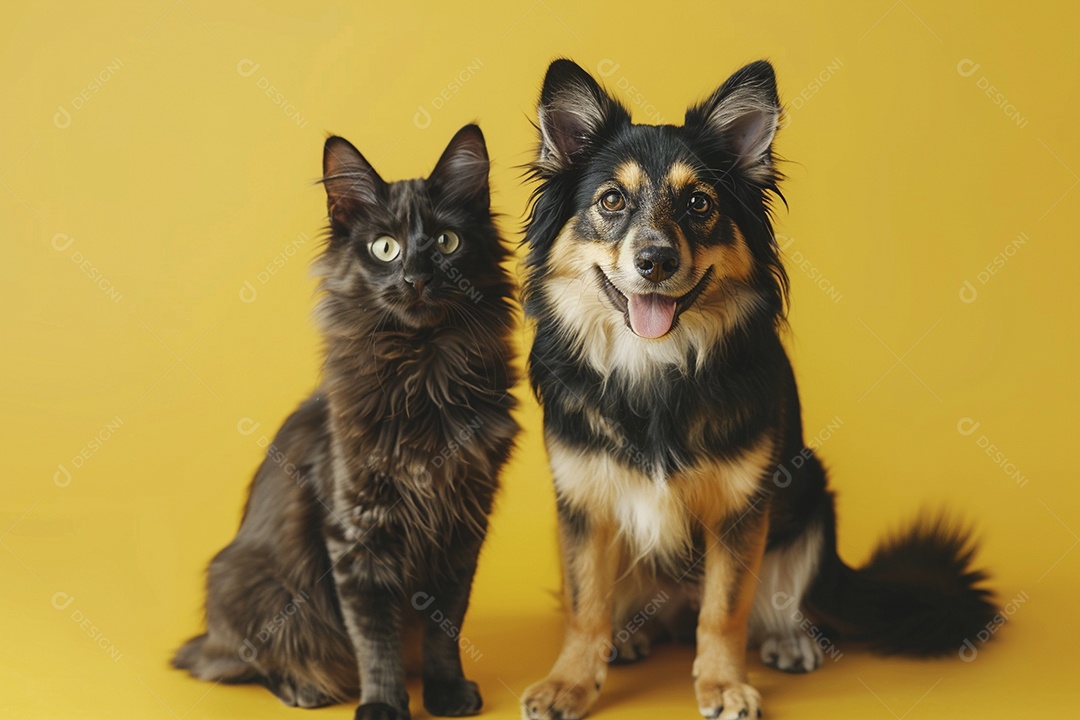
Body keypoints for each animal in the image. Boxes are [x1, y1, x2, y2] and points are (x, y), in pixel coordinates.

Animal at [172, 125, 518, 720]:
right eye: (385, 248)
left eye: (446, 242)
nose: (416, 278)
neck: (424, 372)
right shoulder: (357, 531)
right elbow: (374, 638)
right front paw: (383, 703)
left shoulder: (462, 523)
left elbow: (444, 628)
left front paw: (445, 692)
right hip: (259, 587)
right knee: (242, 662)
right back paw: (304, 687)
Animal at [518, 60, 997, 720]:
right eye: (611, 200)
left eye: (699, 203)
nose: (656, 261)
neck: (656, 366)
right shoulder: (585, 503)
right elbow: (585, 606)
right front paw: (569, 682)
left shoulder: (743, 507)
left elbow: (725, 610)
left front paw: (722, 685)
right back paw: (631, 634)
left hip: (812, 495)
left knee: (770, 605)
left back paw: (789, 639)